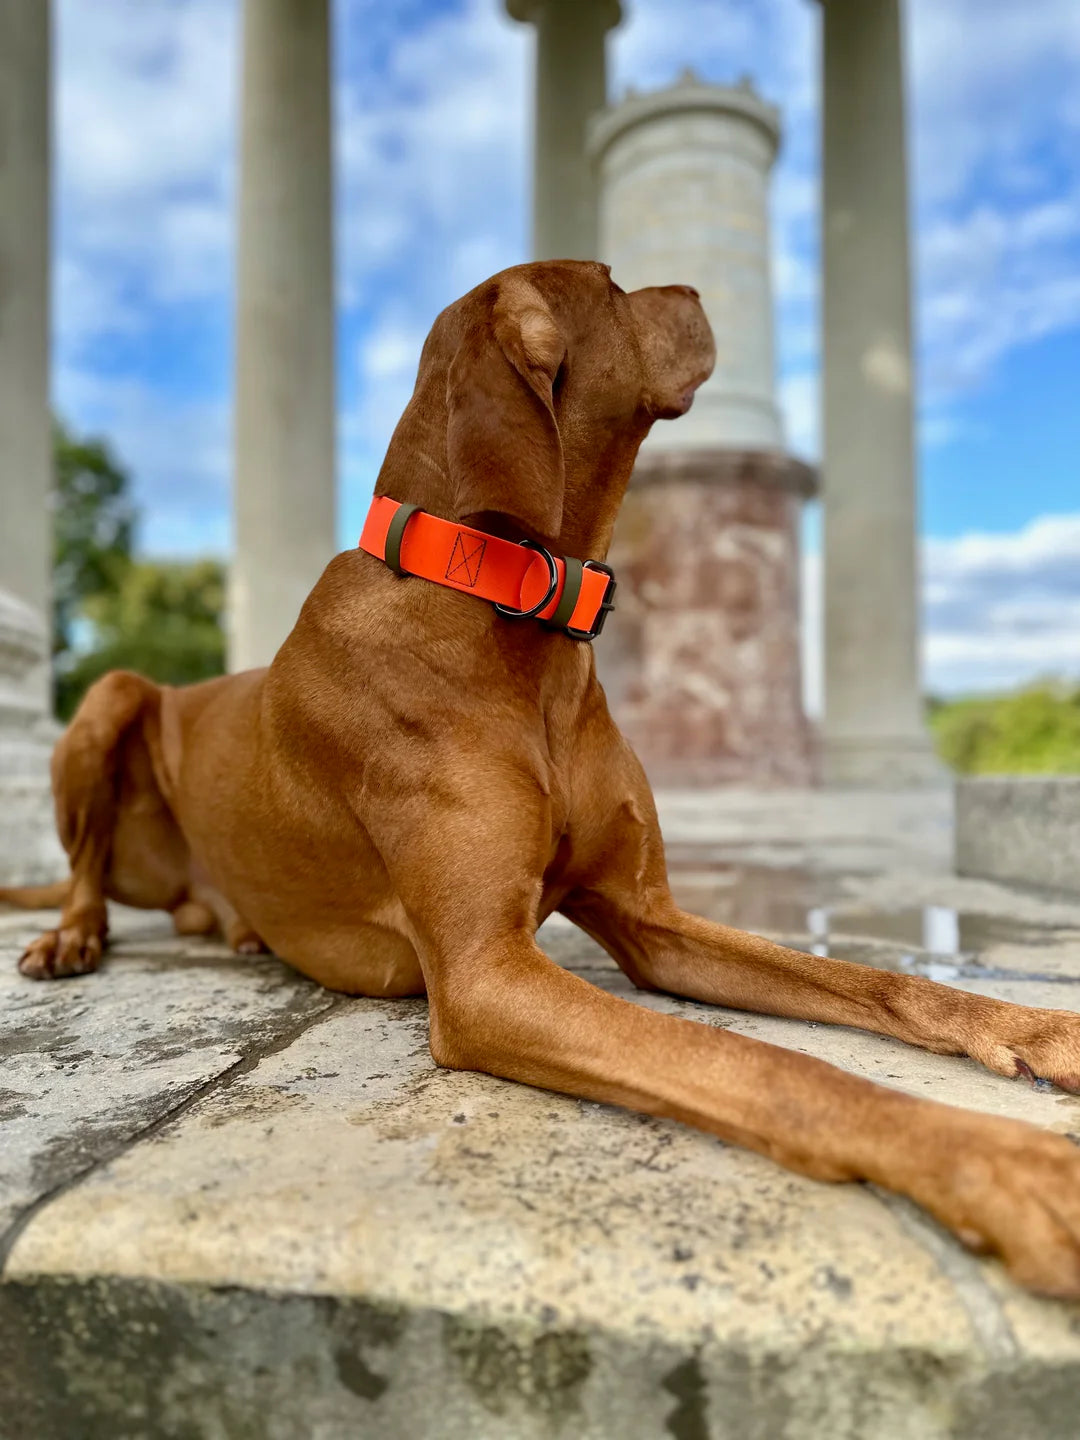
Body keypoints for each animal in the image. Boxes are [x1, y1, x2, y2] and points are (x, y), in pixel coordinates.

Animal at [6, 264, 1080, 1301]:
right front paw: (1003, 1167)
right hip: (113, 697)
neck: (510, 607)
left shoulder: (649, 922)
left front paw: (1038, 1028)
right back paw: (72, 938)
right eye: (611, 286)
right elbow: (760, 1062)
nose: (699, 290)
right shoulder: (485, 974)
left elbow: (875, 980)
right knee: (82, 870)